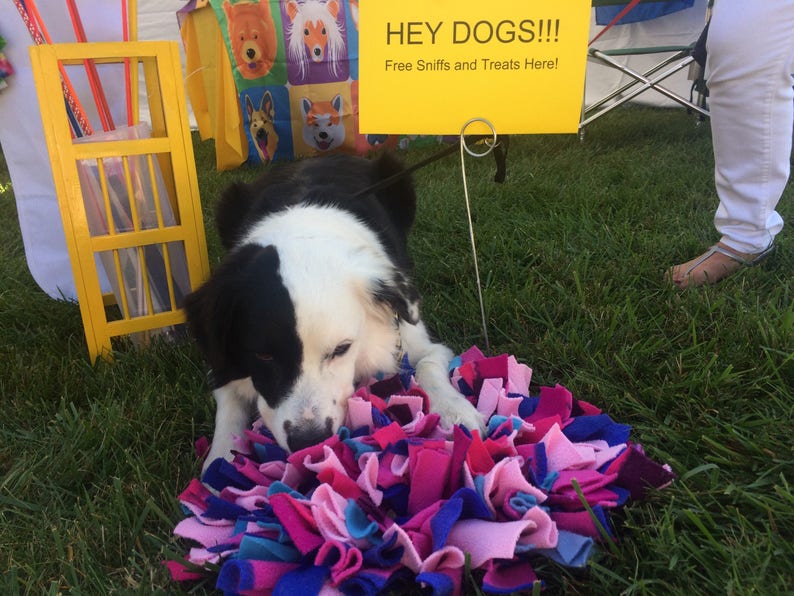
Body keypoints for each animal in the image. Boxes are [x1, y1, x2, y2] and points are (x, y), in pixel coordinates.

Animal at [186, 151, 482, 468]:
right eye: (263, 355)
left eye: (342, 349)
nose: (309, 440)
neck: (302, 232)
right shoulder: (222, 359)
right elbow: (228, 410)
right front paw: (219, 462)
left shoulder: (411, 333)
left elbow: (427, 363)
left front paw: (456, 412)